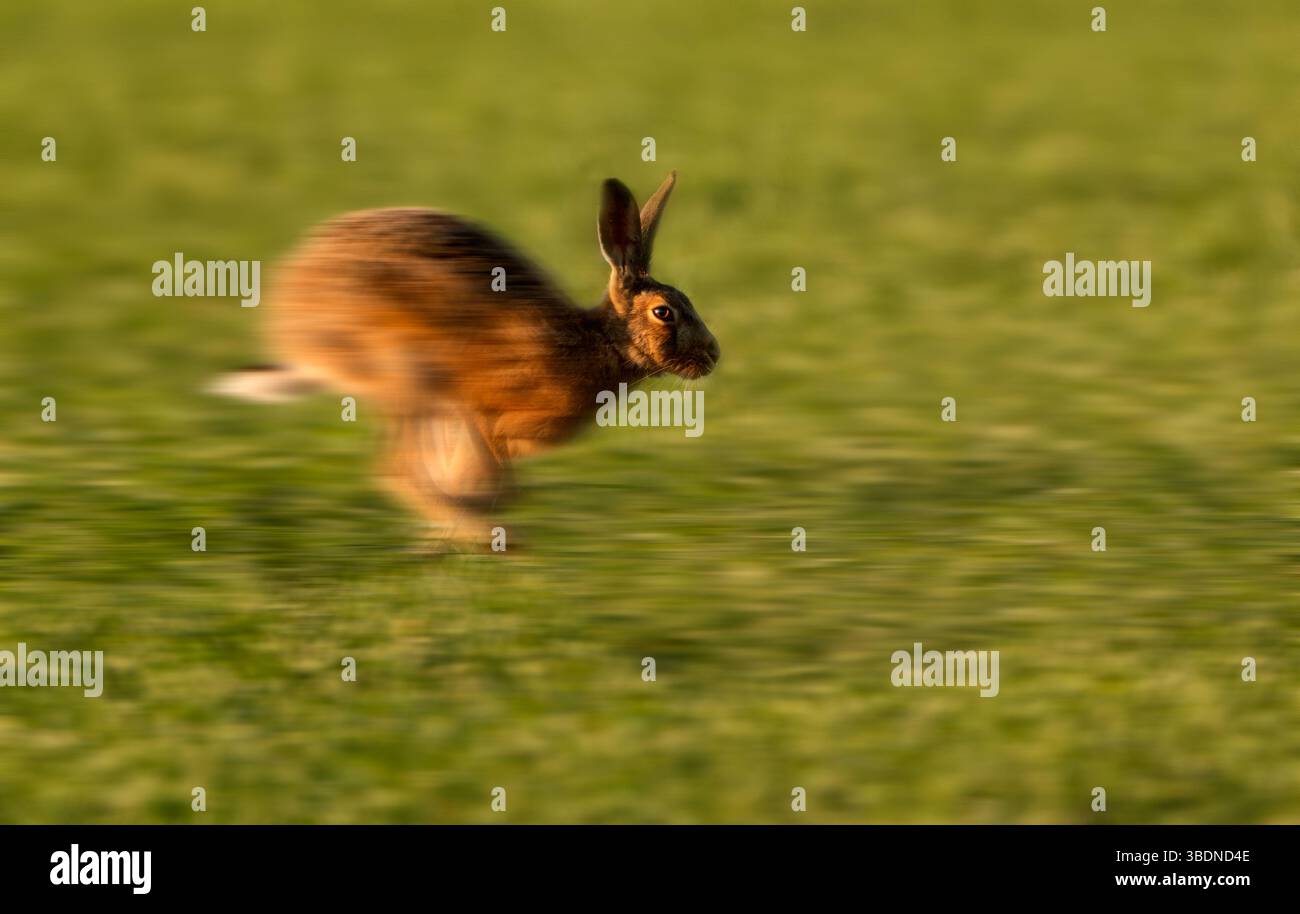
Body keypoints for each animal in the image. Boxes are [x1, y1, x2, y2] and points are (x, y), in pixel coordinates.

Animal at [211, 171, 720, 546]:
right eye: (664, 312)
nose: (713, 355)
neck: (602, 341)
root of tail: (291, 314)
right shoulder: (482, 410)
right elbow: (490, 472)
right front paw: (480, 521)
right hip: (401, 372)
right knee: (393, 469)